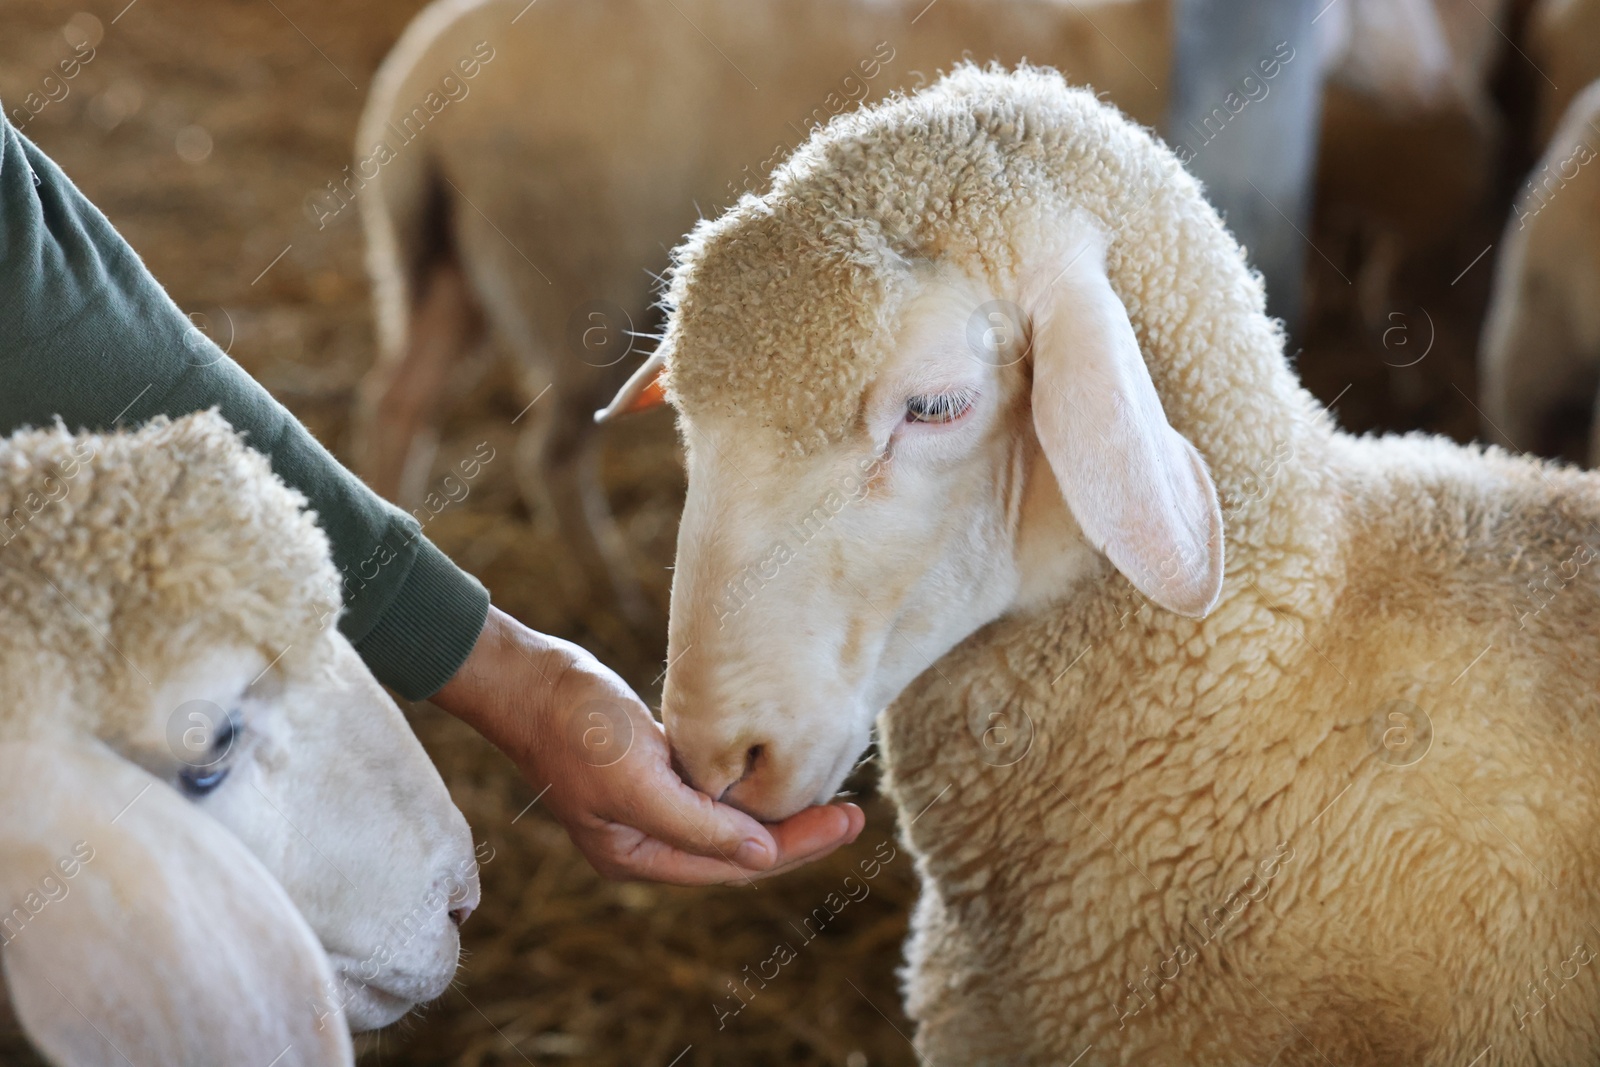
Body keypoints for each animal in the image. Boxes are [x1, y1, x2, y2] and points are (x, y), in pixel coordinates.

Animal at [347, 0, 1497, 627]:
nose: (1446, 84)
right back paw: (610, 590)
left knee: (398, 397)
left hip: (440, 265)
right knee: (548, 450)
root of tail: (423, 92)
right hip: (567, 275)